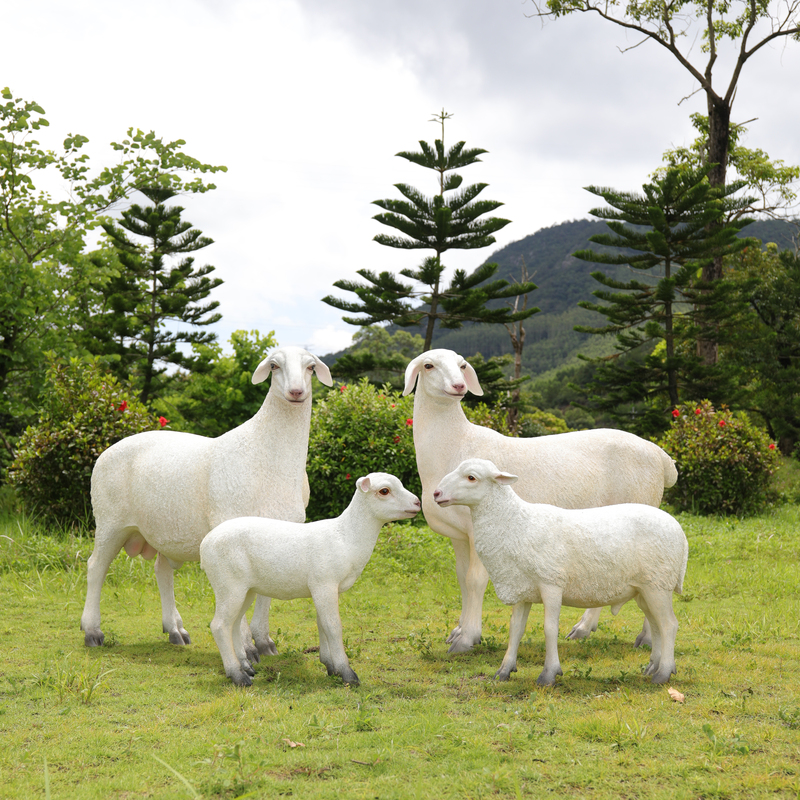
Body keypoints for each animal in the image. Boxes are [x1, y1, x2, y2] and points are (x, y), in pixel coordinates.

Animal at [80, 346, 332, 656]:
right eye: (274, 366)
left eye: (311, 367)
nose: (296, 392)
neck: (266, 453)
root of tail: (106, 452)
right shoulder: (231, 528)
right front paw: (245, 647)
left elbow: (265, 590)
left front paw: (264, 642)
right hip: (110, 520)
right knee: (96, 567)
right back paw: (92, 631)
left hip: (165, 528)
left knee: (161, 570)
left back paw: (175, 629)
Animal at [200, 473, 421, 686]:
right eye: (384, 491)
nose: (418, 502)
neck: (346, 537)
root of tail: (205, 544)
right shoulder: (324, 584)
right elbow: (333, 626)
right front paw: (347, 674)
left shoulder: (326, 589)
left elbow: (322, 624)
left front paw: (330, 666)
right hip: (228, 584)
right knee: (219, 626)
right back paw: (238, 676)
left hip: (246, 588)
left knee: (234, 624)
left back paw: (246, 667)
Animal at [403, 349, 678, 653]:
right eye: (429, 366)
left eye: (462, 366)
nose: (459, 386)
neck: (455, 442)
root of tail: (661, 457)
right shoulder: (459, 535)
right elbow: (462, 579)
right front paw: (458, 630)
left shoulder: (478, 531)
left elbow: (475, 581)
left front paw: (468, 638)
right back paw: (586, 628)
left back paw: (647, 638)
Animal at [434, 459, 688, 685]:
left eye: (471, 477)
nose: (436, 493)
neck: (516, 524)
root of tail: (679, 531)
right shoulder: (522, 587)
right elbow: (515, 630)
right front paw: (504, 670)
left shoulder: (551, 583)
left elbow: (550, 629)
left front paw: (549, 674)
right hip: (644, 589)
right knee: (656, 625)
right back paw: (653, 666)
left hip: (658, 584)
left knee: (669, 625)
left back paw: (663, 673)